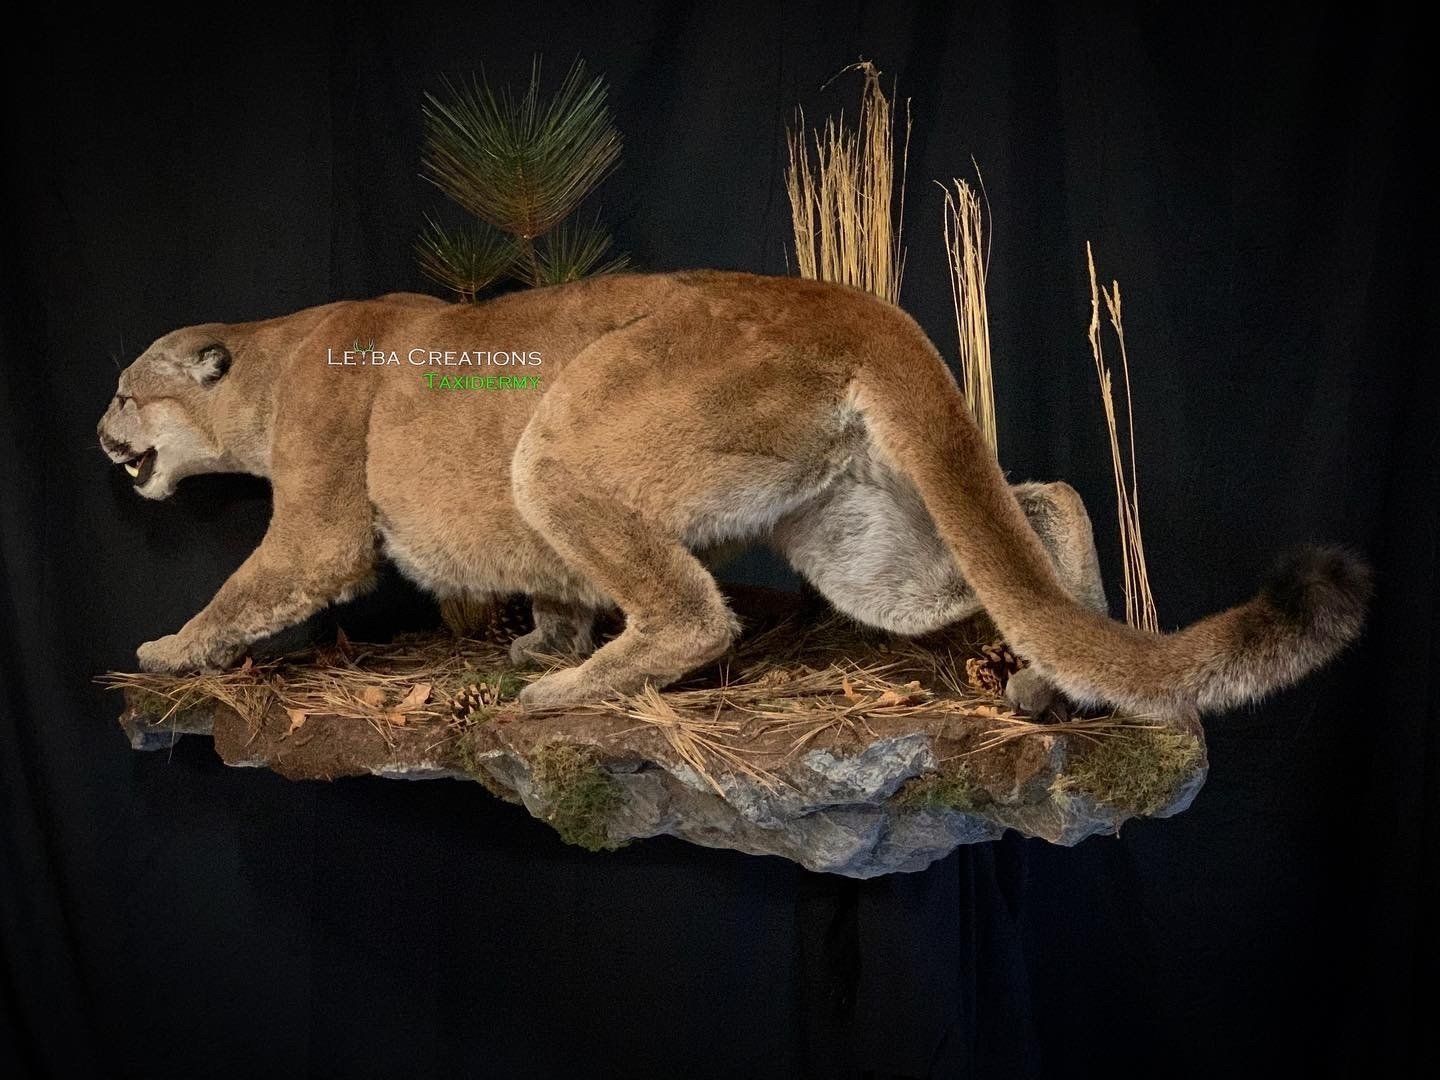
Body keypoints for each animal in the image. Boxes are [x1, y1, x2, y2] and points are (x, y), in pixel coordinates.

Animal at [97, 270, 1368, 714]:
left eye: (123, 388)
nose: (99, 433)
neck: (271, 361)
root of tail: (852, 301)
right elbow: (552, 585)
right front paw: (542, 637)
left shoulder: (319, 525)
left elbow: (258, 583)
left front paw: (166, 650)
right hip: (862, 542)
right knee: (1045, 499)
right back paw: (1060, 672)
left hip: (563, 441)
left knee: (693, 613)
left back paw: (562, 698)